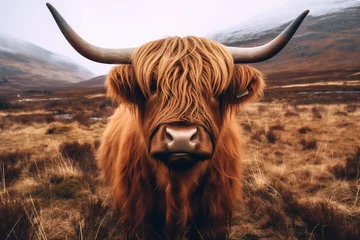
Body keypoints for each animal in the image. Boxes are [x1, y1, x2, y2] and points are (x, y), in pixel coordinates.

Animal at [46, 3, 308, 238]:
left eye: (215, 89)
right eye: (152, 86)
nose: (181, 138)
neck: (178, 188)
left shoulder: (214, 220)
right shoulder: (137, 219)